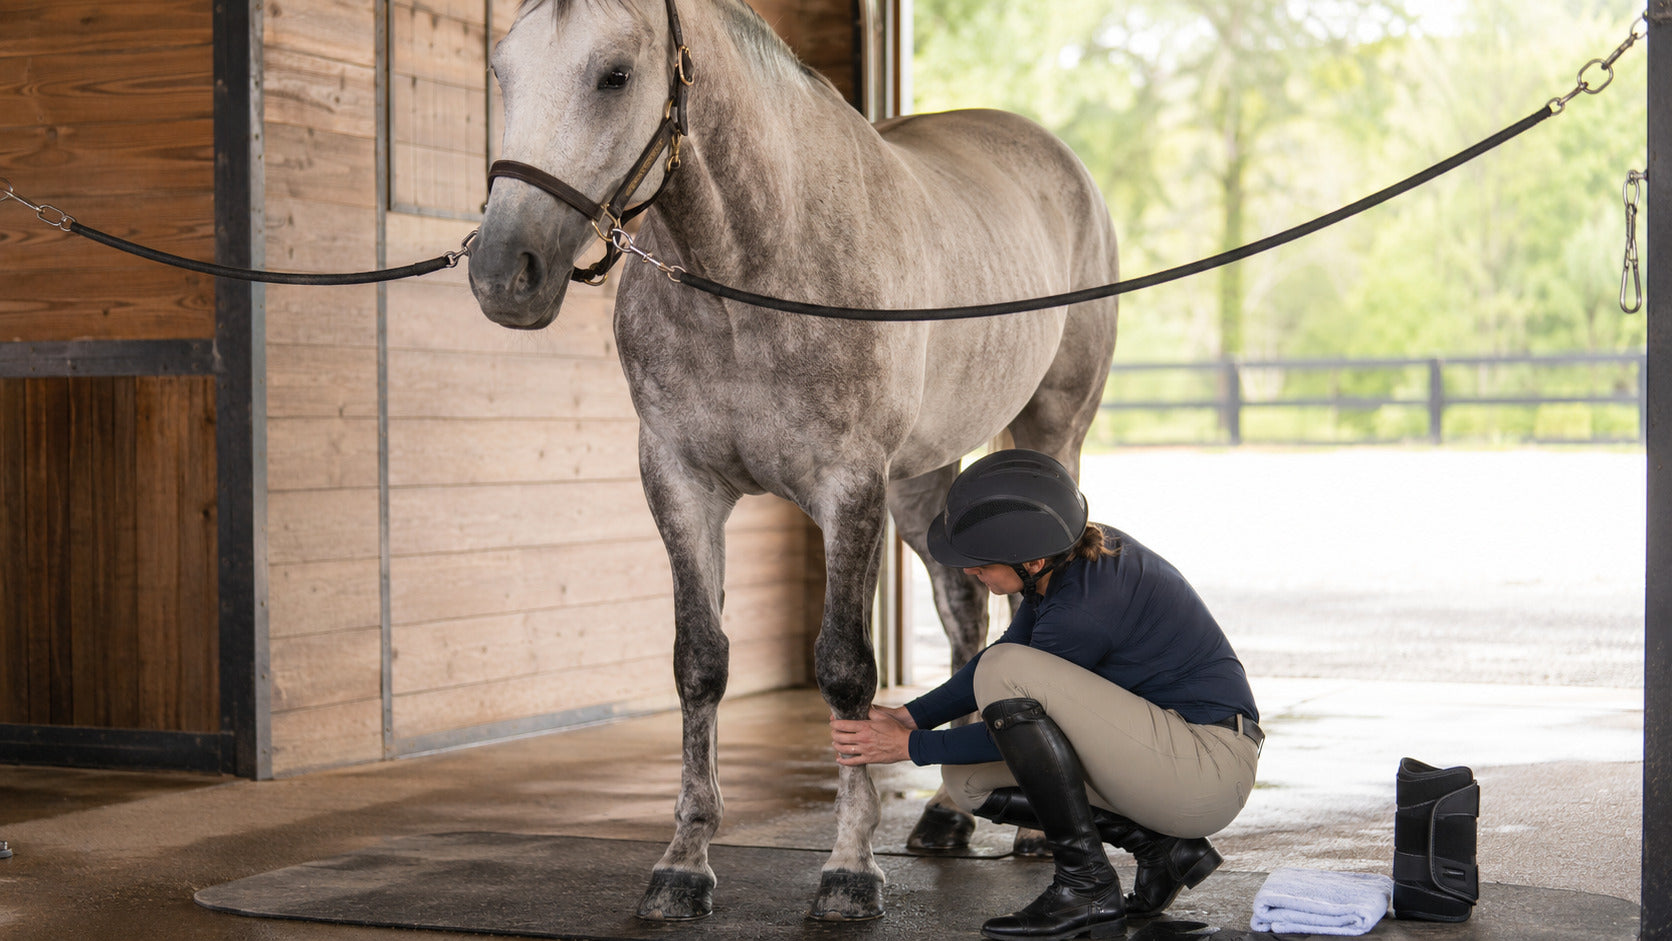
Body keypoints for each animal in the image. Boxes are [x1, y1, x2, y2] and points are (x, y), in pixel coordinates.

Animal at [467, 0, 1120, 922]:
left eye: (615, 75)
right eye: (503, 68)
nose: (503, 272)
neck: (753, 270)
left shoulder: (849, 487)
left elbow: (846, 671)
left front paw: (849, 869)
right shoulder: (680, 482)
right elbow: (699, 662)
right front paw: (683, 864)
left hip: (1046, 433)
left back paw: (1026, 828)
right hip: (921, 479)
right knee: (965, 613)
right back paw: (947, 815)